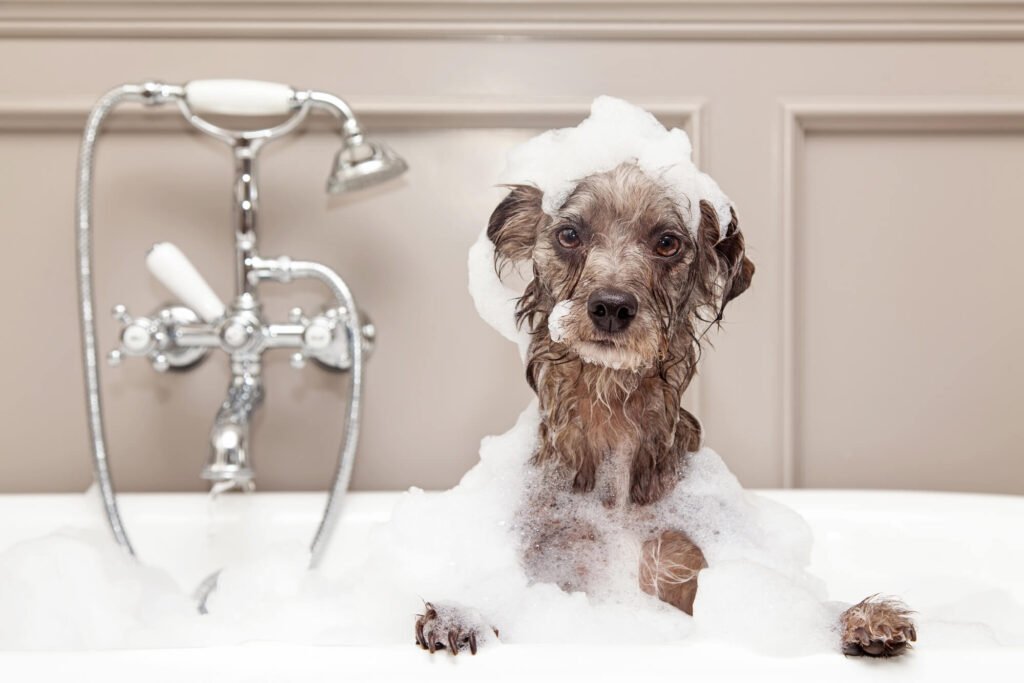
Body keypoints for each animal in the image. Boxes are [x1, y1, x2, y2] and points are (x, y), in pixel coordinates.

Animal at [411, 162, 917, 659]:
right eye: (570, 234)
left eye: (667, 242)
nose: (611, 306)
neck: (611, 422)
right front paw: (463, 614)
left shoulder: (683, 564)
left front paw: (854, 619)